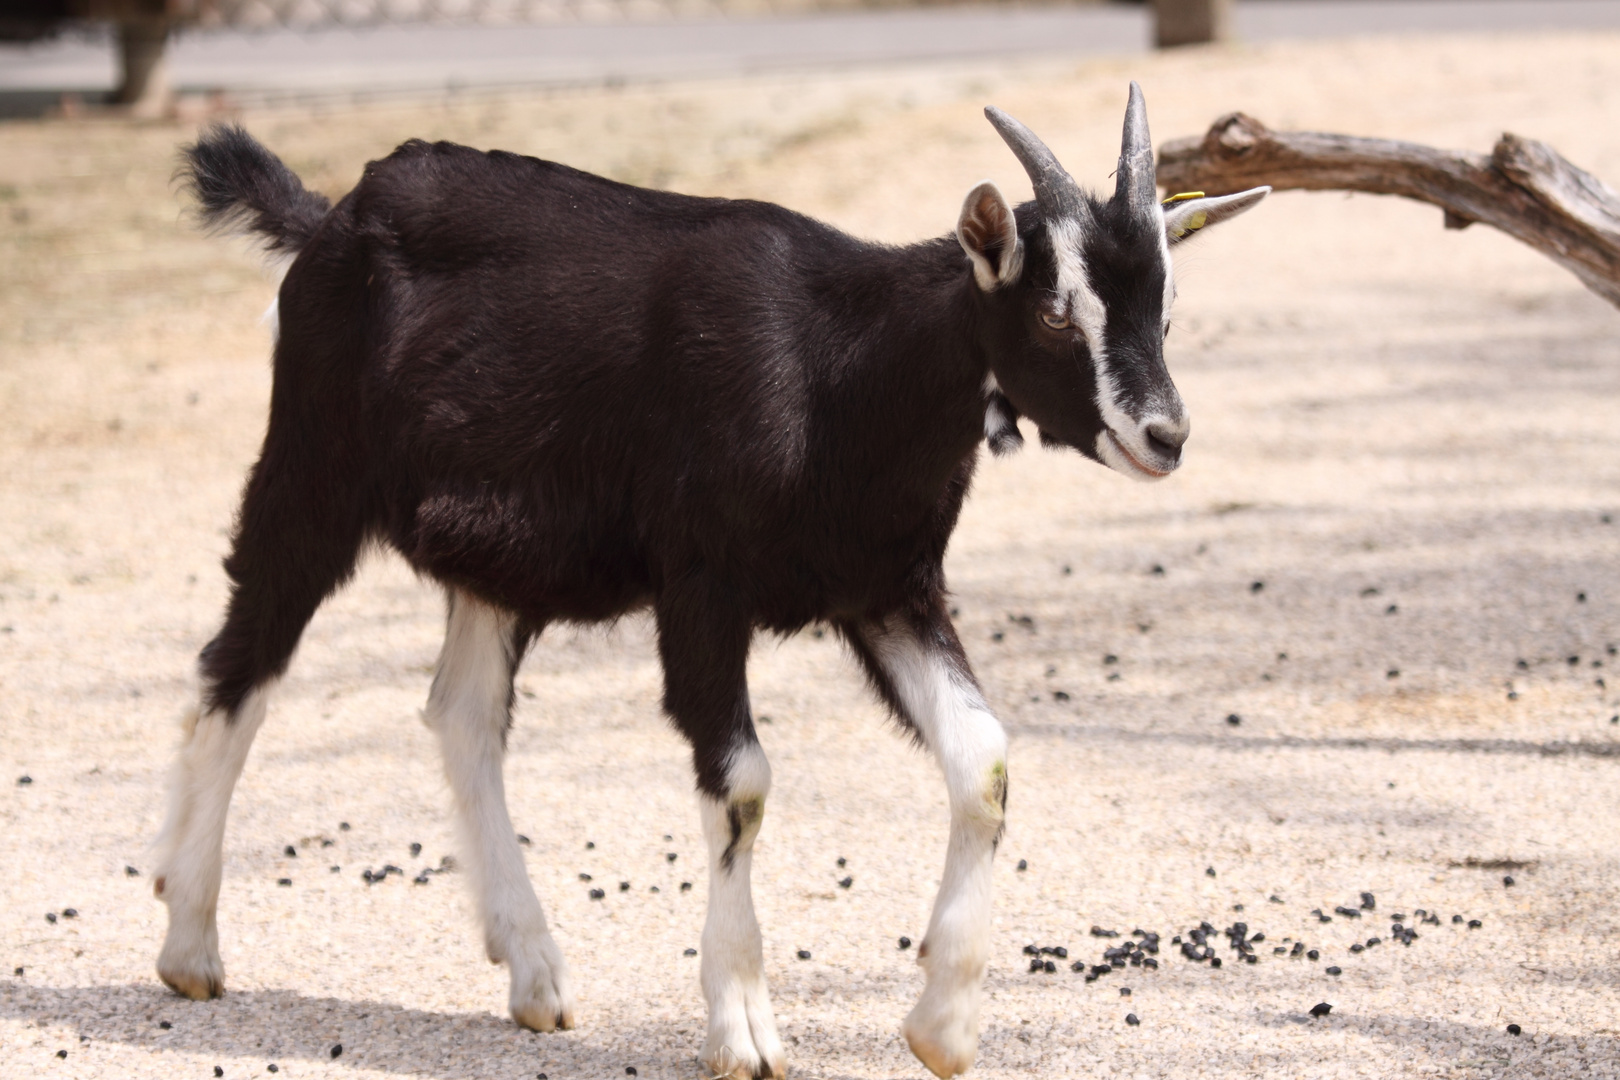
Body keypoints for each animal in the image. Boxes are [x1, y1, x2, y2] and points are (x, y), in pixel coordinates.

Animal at [154, 86, 1263, 1080]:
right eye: (1056, 311)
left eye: (1167, 306)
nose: (1165, 434)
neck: (835, 371)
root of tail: (330, 219)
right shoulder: (700, 587)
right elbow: (741, 786)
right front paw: (744, 1032)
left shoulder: (888, 589)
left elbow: (984, 761)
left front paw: (943, 1025)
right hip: (311, 472)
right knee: (236, 671)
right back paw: (189, 939)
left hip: (498, 553)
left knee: (460, 713)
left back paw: (534, 970)